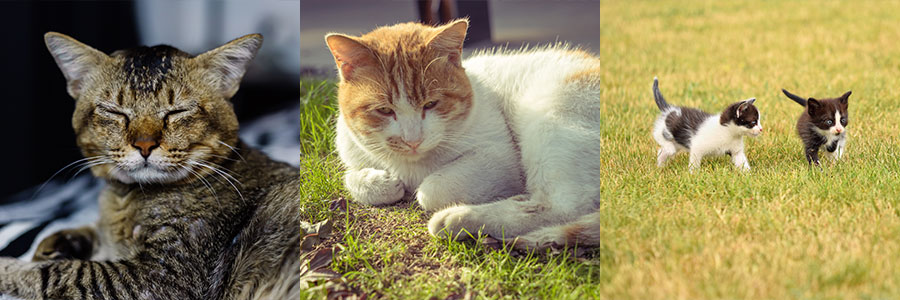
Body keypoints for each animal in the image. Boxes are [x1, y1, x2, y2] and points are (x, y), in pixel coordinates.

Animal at [0, 32, 302, 300]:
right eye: (114, 111)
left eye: (178, 111)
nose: (144, 145)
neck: (125, 197)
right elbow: (88, 232)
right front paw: (58, 243)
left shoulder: (160, 276)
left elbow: (63, 272)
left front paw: (11, 266)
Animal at [326, 19, 600, 250]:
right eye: (384, 110)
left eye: (431, 104)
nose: (412, 140)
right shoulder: (352, 151)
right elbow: (350, 177)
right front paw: (379, 182)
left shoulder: (500, 158)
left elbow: (431, 190)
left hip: (549, 122)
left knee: (562, 207)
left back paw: (457, 219)